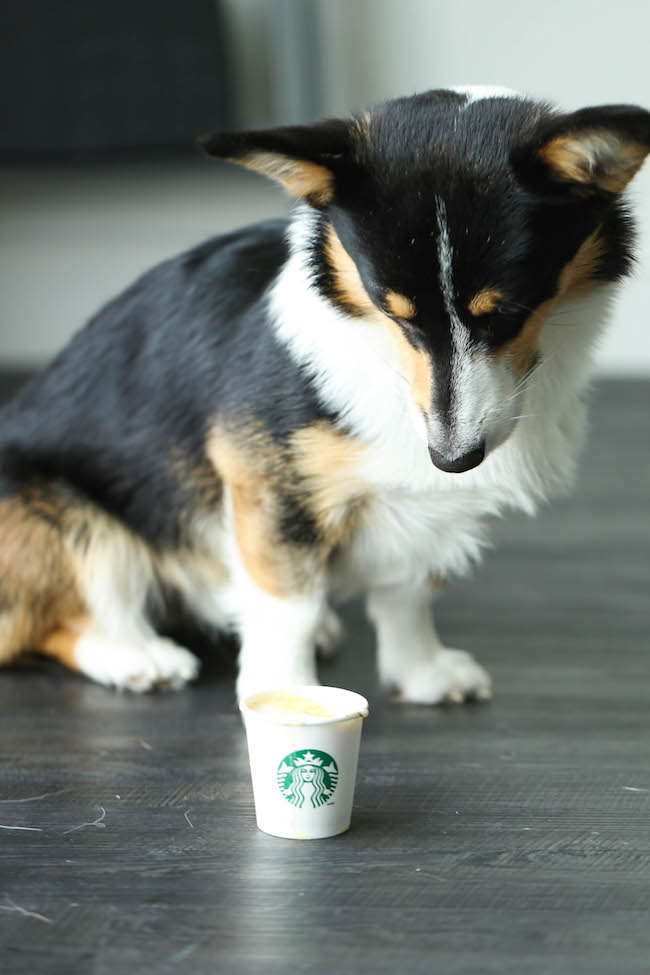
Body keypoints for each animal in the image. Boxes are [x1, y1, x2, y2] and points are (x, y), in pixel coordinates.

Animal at [1, 87, 648, 700]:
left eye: (509, 313)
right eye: (393, 312)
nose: (453, 460)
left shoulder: (420, 511)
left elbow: (409, 593)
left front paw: (422, 673)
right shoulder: (271, 491)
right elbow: (290, 608)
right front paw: (285, 696)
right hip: (65, 517)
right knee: (50, 623)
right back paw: (136, 657)